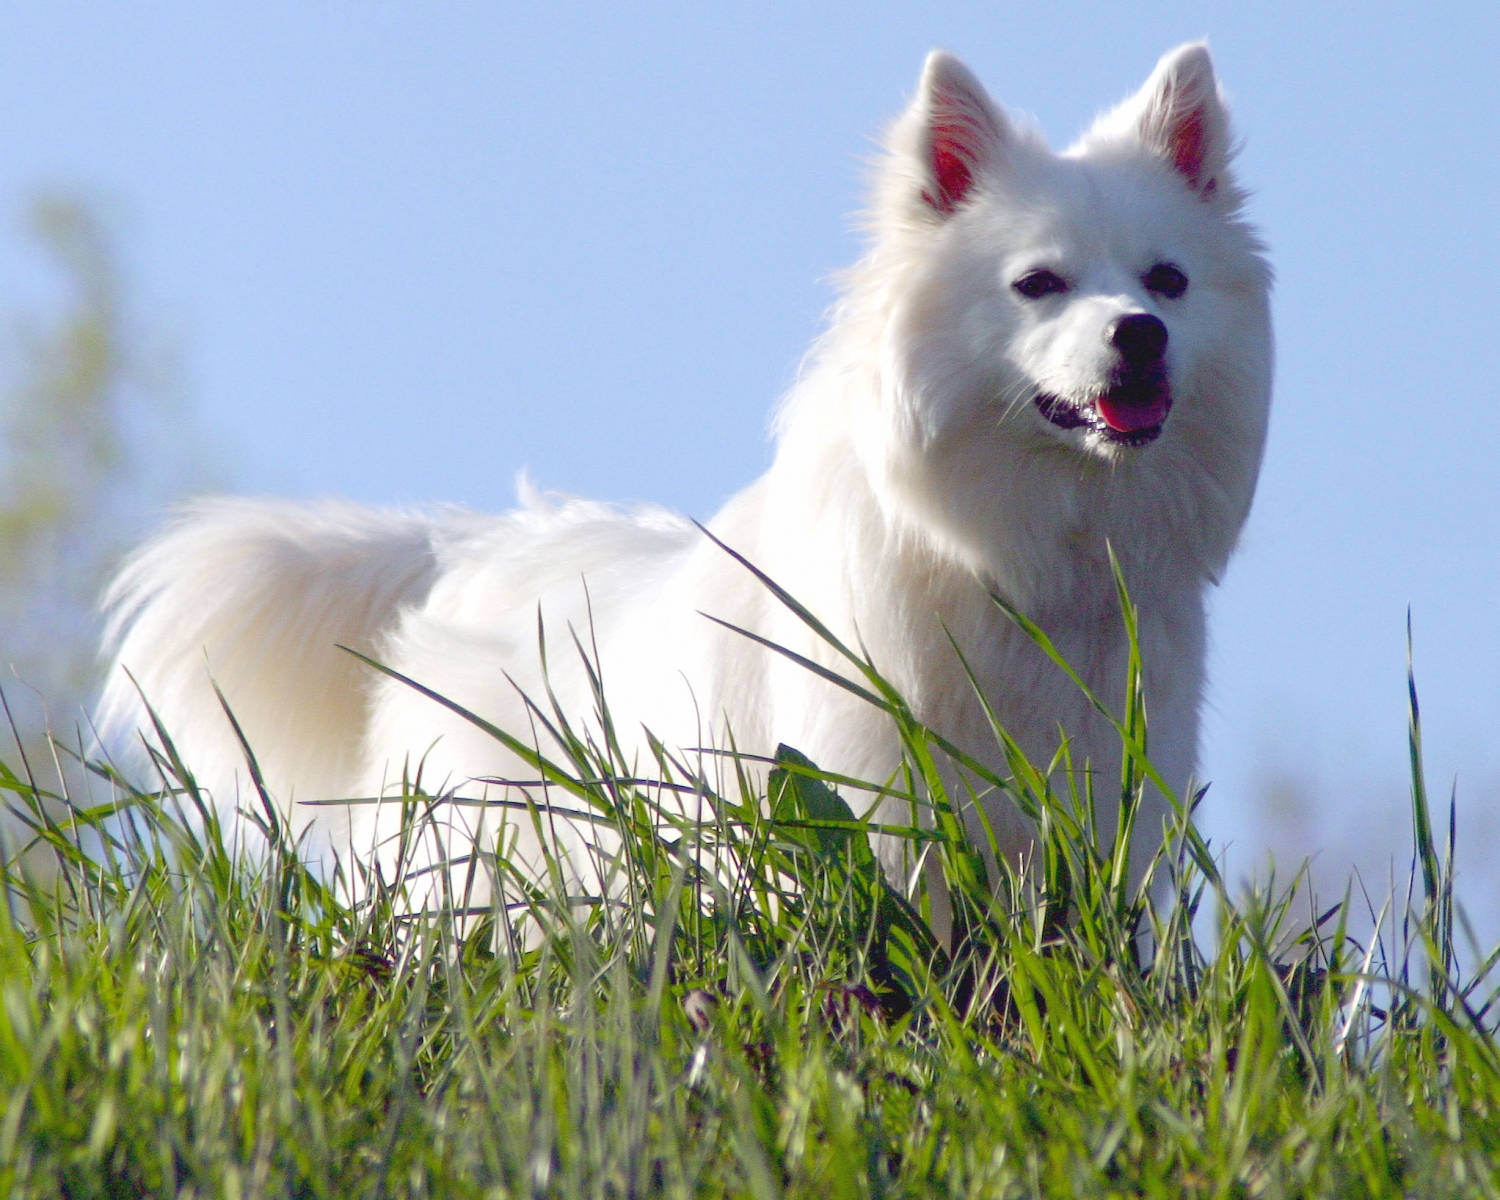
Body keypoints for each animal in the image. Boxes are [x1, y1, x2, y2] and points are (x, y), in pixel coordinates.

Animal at [96, 44, 1266, 930]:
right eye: (1038, 284)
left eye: (1167, 281)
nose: (1140, 334)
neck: (1020, 563)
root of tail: (471, 548)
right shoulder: (876, 815)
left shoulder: (1107, 827)